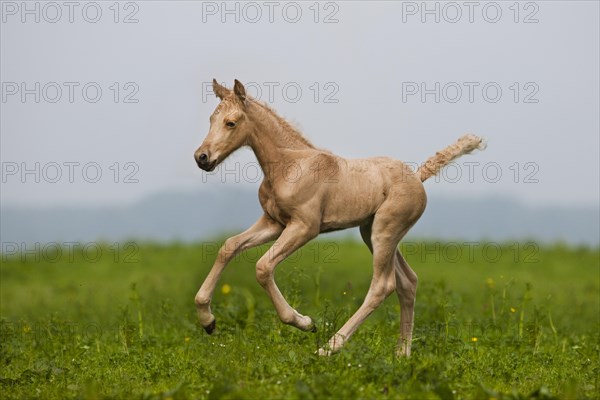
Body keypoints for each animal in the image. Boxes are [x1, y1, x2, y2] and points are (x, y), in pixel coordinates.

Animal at [195, 79, 486, 356]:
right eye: (210, 119)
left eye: (231, 123)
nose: (202, 157)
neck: (289, 166)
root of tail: (417, 177)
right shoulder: (273, 223)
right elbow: (229, 246)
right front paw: (208, 320)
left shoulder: (305, 227)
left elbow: (263, 267)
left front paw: (305, 322)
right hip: (371, 232)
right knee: (408, 282)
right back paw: (402, 354)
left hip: (385, 232)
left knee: (383, 285)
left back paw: (329, 347)